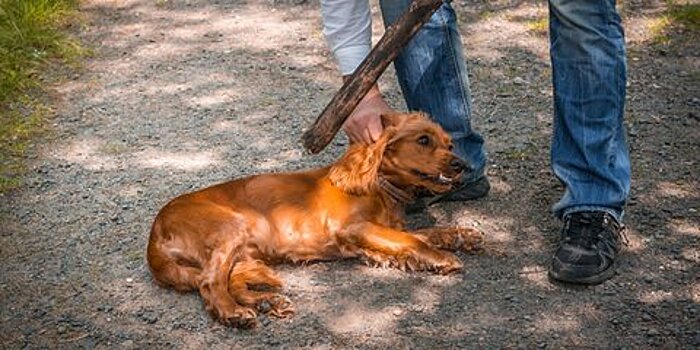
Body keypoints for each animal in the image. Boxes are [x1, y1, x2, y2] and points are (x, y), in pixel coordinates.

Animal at [146, 112, 486, 328]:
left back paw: (268, 302)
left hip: (244, 255)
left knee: (230, 281)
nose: (462, 165)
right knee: (210, 281)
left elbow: (424, 232)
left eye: (450, 144)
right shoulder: (355, 228)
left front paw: (460, 234)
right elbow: (413, 239)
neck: (380, 187)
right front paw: (441, 258)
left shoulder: (382, 229)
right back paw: (234, 313)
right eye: (424, 140)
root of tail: (155, 234)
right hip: (230, 229)